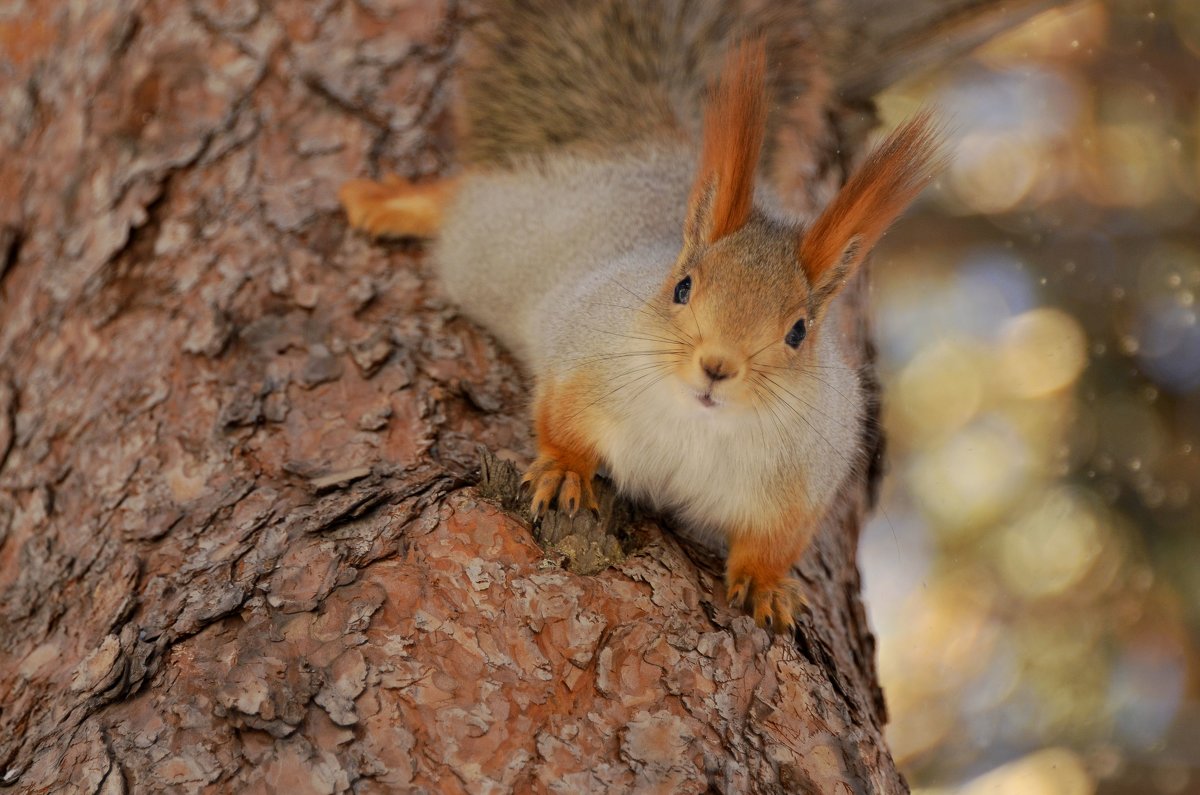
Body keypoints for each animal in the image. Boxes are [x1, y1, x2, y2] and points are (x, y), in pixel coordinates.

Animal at [336, 1, 936, 634]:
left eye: (799, 332)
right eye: (682, 288)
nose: (717, 367)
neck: (698, 423)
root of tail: (646, 153)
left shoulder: (802, 482)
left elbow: (773, 544)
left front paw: (767, 585)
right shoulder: (582, 359)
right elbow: (560, 421)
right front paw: (565, 470)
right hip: (502, 233)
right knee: (466, 199)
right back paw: (389, 204)